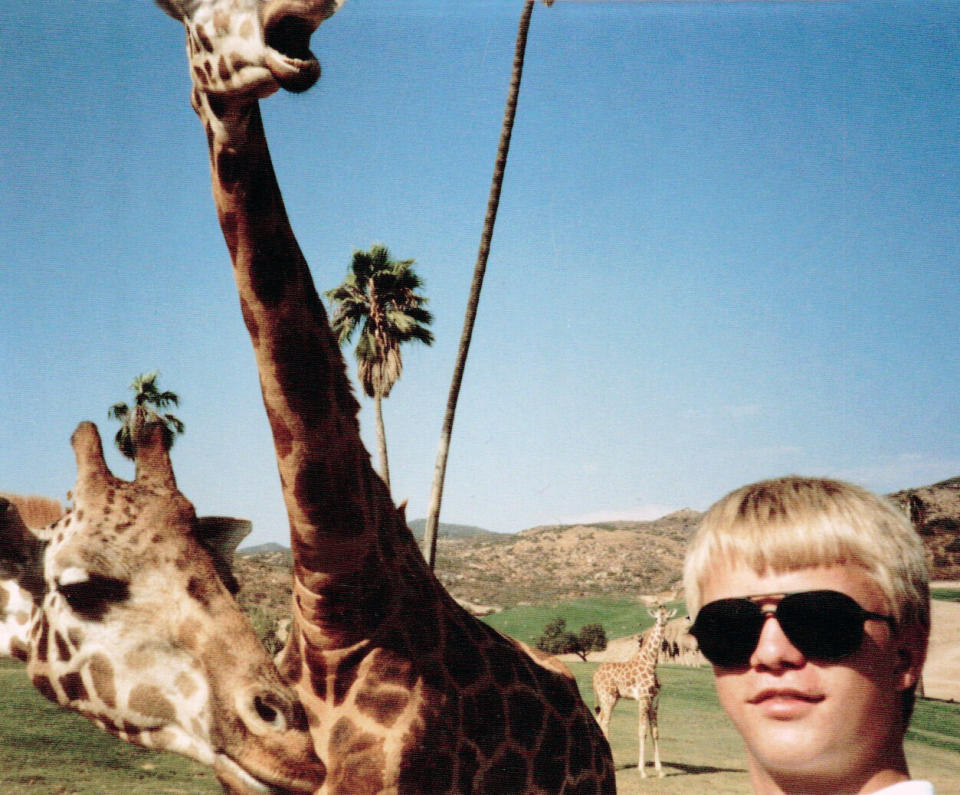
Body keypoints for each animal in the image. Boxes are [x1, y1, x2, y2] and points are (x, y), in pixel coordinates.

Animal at [588, 604, 680, 776]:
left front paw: (660, 770)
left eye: (667, 616)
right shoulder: (643, 699)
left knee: (599, 719)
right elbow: (642, 732)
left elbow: (655, 732)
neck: (651, 663)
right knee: (605, 722)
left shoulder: (654, 701)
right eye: (656, 617)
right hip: (608, 697)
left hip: (611, 698)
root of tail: (595, 675)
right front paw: (642, 771)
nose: (662, 623)